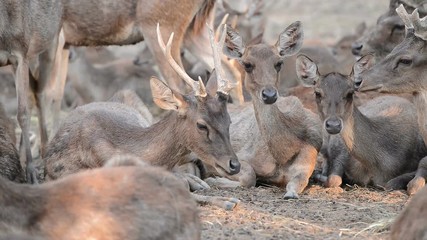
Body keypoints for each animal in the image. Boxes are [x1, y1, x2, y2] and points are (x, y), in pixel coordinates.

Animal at [296, 52, 427, 191]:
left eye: (350, 93)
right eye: (317, 93)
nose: (333, 125)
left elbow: (392, 183)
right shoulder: (340, 149)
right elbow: (334, 179)